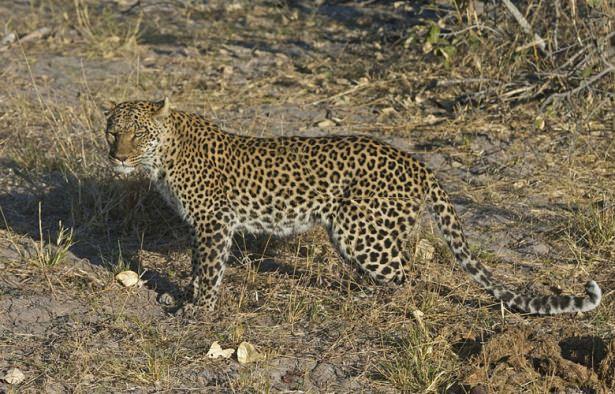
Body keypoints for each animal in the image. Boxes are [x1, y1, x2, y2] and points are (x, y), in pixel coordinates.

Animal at [104, 98, 600, 318]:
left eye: (138, 133)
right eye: (113, 132)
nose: (118, 157)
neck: (165, 156)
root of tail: (418, 163)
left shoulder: (213, 223)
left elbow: (209, 271)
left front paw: (199, 311)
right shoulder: (199, 226)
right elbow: (194, 266)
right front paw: (183, 296)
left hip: (357, 230)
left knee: (407, 275)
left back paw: (372, 300)